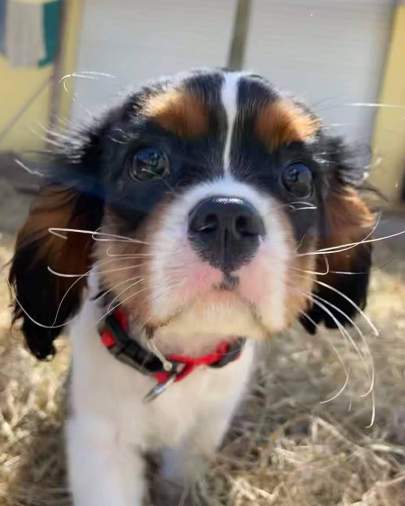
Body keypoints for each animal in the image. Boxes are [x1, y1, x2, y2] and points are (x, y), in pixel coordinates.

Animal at [8, 70, 372, 506]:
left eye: (298, 176)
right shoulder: (99, 436)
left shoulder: (208, 426)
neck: (182, 353)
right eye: (148, 162)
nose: (229, 216)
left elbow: (183, 476)